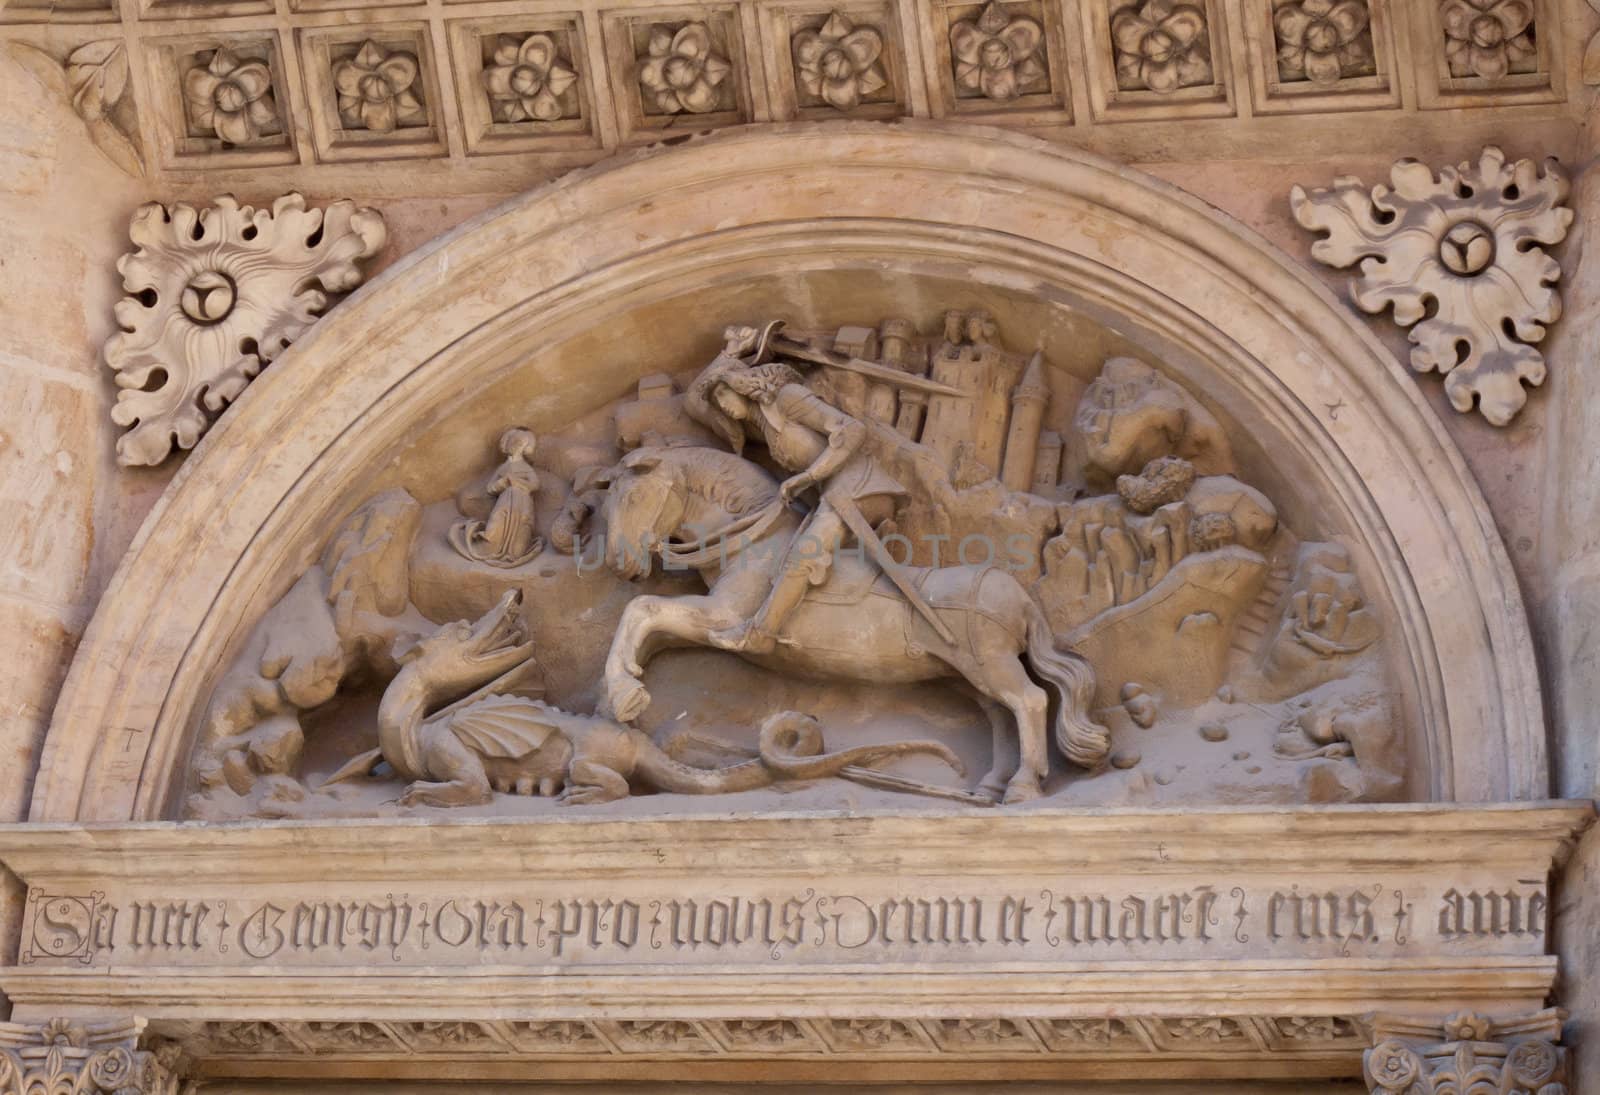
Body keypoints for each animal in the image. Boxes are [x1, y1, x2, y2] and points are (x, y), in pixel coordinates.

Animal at [595, 445, 1107, 803]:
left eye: (634, 496)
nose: (621, 564)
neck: (751, 542)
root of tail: (1019, 595)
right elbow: (646, 622)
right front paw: (619, 695)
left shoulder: (723, 619)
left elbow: (642, 607)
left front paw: (624, 694)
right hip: (969, 676)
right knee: (1001, 715)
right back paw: (991, 787)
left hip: (992, 666)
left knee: (1031, 701)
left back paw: (1023, 787)